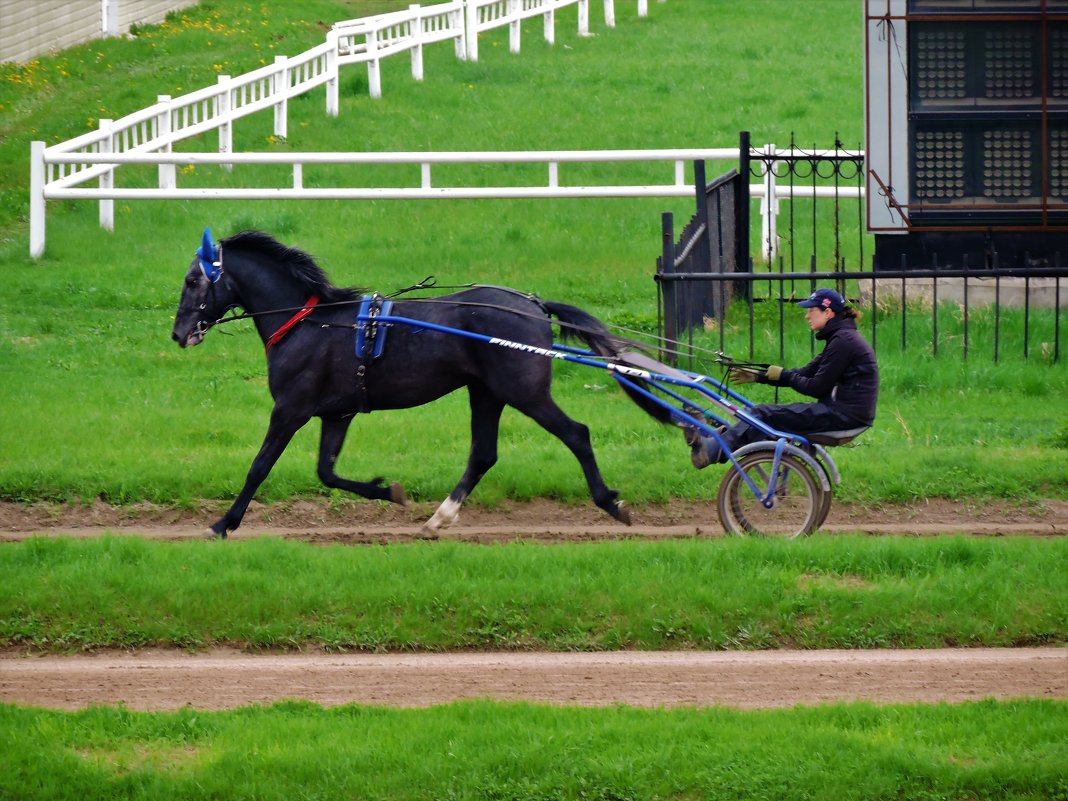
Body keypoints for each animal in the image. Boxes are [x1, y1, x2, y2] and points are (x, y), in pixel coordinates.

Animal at [169, 228, 662, 536]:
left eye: (193, 280)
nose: (178, 333)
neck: (307, 322)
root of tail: (534, 305)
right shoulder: (337, 412)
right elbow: (326, 472)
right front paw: (388, 490)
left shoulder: (291, 408)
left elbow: (259, 466)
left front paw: (224, 523)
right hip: (486, 393)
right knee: (483, 454)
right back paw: (439, 518)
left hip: (524, 391)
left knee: (576, 434)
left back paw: (611, 503)